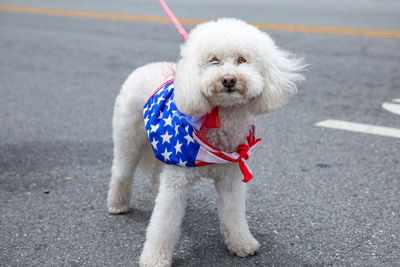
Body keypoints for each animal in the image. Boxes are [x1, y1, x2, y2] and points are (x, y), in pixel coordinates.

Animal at [106, 17, 304, 266]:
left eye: (242, 59)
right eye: (214, 60)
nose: (229, 79)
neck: (220, 119)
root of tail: (147, 66)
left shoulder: (231, 177)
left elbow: (234, 215)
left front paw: (242, 244)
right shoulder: (178, 179)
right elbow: (164, 224)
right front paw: (155, 258)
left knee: (156, 178)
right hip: (128, 136)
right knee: (121, 171)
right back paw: (117, 205)